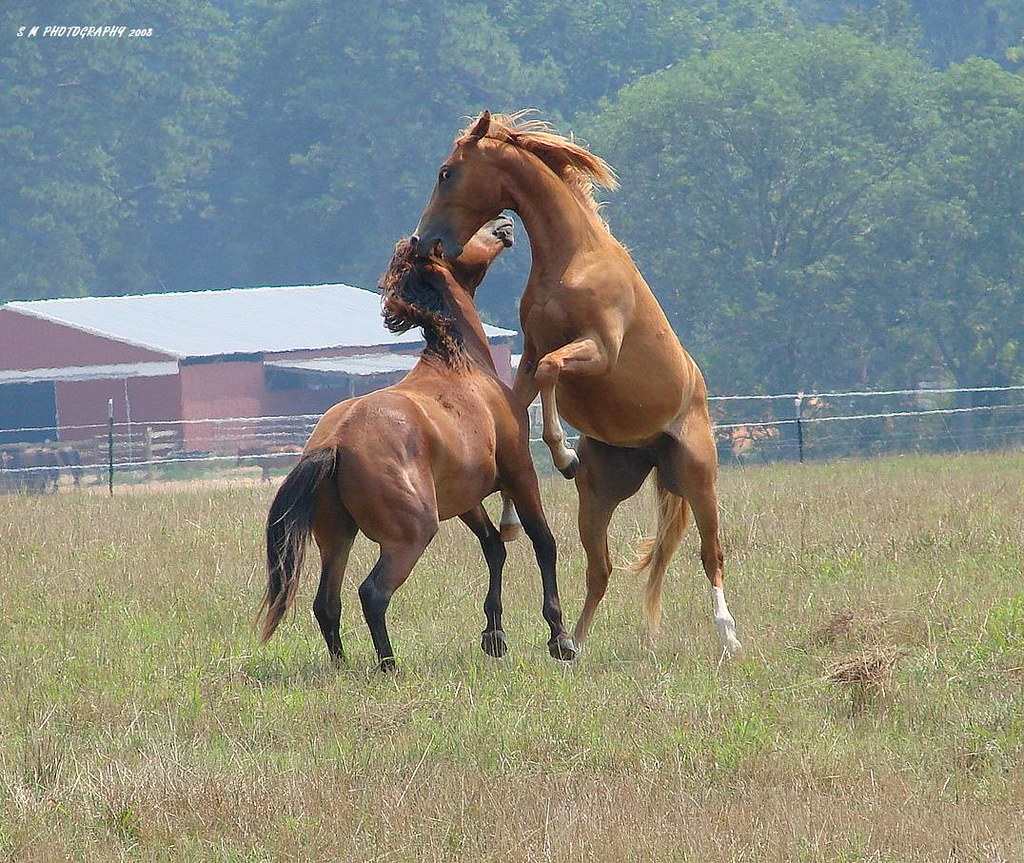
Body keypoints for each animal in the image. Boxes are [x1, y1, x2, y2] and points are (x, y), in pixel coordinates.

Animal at [260, 217, 578, 671]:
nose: (504, 224)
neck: (462, 365)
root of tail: (335, 443)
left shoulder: (466, 499)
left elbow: (493, 547)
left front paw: (494, 635)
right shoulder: (519, 473)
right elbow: (542, 542)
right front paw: (559, 637)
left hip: (337, 537)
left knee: (327, 603)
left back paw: (343, 667)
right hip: (410, 536)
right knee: (372, 593)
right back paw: (389, 665)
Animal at [412, 111, 741, 655]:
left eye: (446, 172)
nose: (424, 242)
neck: (574, 259)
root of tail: (653, 450)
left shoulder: (597, 351)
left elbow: (551, 376)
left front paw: (563, 454)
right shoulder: (530, 356)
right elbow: (518, 407)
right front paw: (510, 518)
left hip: (699, 476)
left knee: (710, 554)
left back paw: (728, 635)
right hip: (599, 496)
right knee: (599, 570)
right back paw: (573, 645)